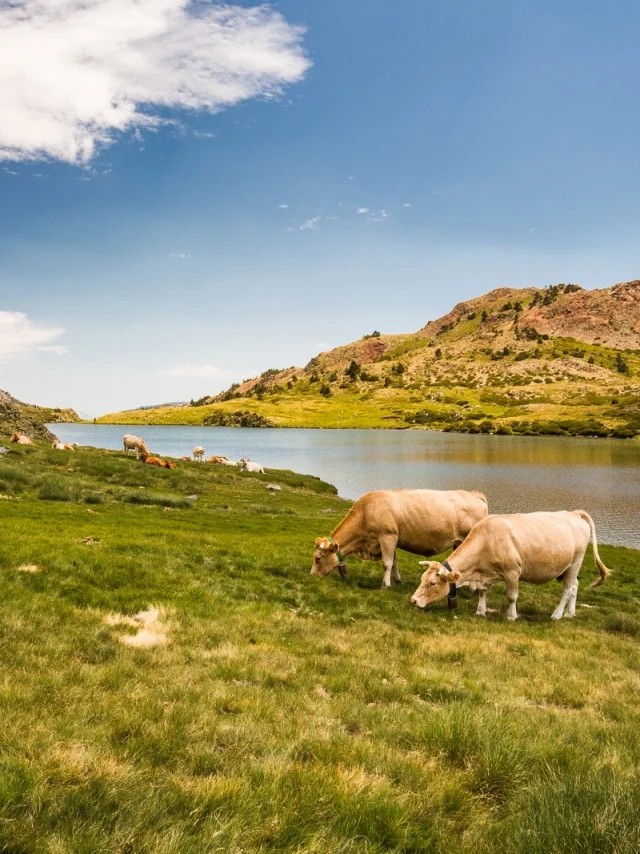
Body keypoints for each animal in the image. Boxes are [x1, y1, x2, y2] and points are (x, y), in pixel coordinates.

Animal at [311, 489, 489, 588]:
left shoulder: (387, 536)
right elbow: (394, 562)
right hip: (458, 543)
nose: (312, 575)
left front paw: (386, 585)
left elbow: (387, 563)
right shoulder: (391, 540)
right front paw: (397, 581)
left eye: (318, 558)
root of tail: (474, 495)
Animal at [410, 510, 610, 621]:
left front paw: (512, 616)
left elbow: (512, 596)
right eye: (422, 579)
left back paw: (557, 614)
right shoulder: (486, 574)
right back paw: (570, 613)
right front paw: (480, 611)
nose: (413, 600)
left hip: (576, 560)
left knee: (568, 589)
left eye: (432, 583)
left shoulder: (512, 571)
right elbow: (482, 592)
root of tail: (573, 513)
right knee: (575, 585)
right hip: (567, 567)